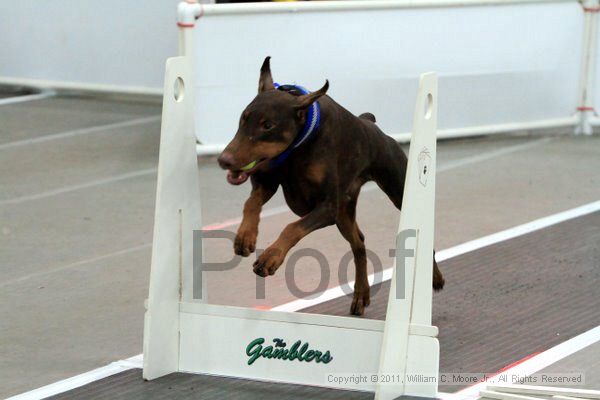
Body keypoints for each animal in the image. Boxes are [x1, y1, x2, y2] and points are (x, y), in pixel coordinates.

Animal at [218, 57, 442, 316]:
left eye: (268, 125)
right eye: (243, 118)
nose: (224, 160)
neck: (300, 143)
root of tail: (371, 124)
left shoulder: (327, 207)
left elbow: (291, 227)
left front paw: (271, 257)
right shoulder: (269, 181)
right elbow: (251, 202)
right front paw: (246, 236)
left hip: (396, 191)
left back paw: (435, 278)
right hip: (344, 214)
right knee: (359, 244)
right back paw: (361, 295)